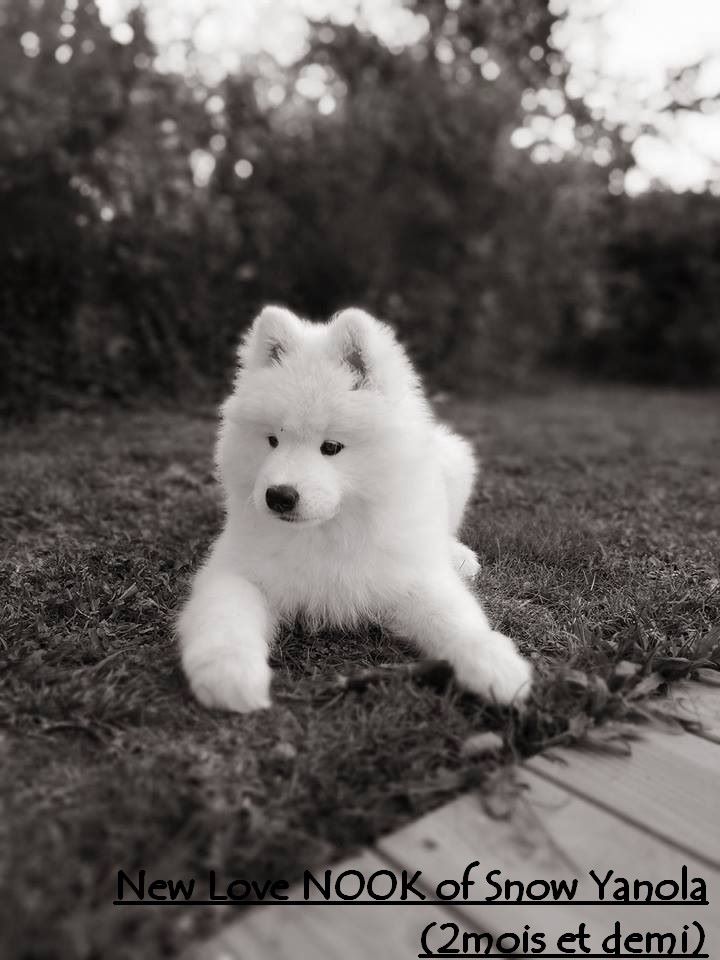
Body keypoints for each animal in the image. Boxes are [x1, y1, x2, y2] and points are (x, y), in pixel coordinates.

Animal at [177, 308, 532, 712]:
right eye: (272, 440)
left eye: (331, 447)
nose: (279, 496)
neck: (328, 530)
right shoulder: (237, 570)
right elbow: (225, 615)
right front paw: (229, 673)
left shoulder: (408, 575)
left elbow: (455, 617)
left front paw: (495, 663)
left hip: (455, 463)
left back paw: (457, 556)